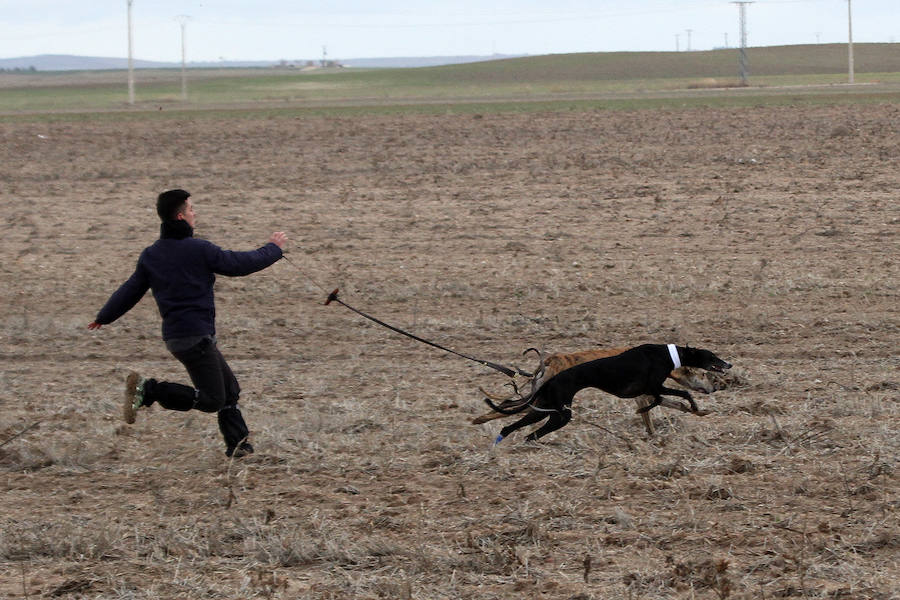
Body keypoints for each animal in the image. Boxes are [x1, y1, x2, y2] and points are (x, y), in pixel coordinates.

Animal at [486, 344, 732, 442]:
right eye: (707, 371)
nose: (728, 365)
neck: (667, 355)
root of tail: (550, 360)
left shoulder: (647, 392)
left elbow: (668, 404)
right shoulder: (649, 391)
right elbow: (673, 400)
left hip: (545, 404)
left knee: (512, 415)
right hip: (555, 409)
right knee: (506, 412)